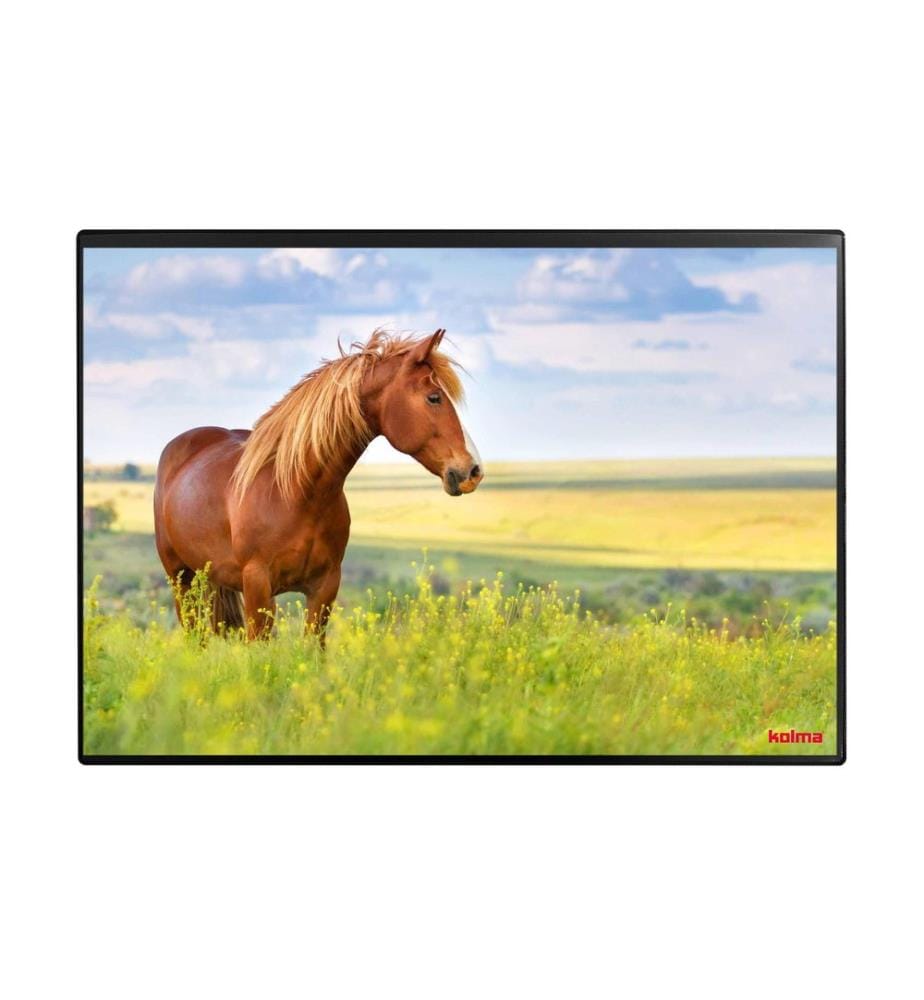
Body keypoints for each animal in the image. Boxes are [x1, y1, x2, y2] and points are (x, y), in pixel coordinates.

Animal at [153, 329, 484, 641]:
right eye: (434, 397)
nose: (473, 471)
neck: (296, 493)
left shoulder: (324, 588)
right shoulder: (257, 587)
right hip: (181, 579)